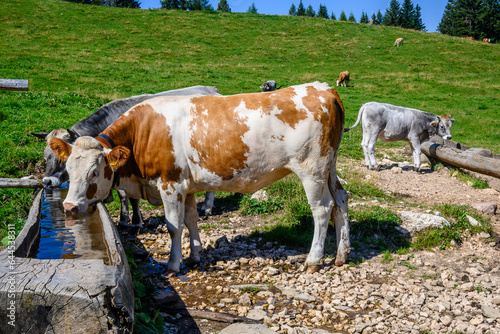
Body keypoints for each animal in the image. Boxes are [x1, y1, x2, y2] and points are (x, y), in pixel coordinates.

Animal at [31, 85, 219, 224]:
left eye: (62, 159)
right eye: (46, 156)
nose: (47, 181)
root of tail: (210, 89)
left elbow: (128, 196)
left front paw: (131, 219)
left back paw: (207, 207)